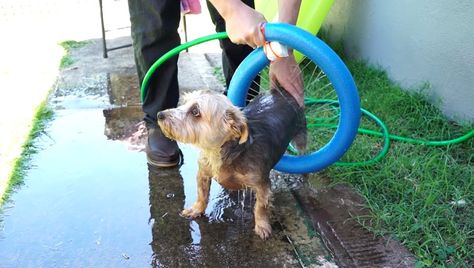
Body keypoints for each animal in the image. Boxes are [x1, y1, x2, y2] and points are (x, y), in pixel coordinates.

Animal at [157, 88, 306, 239]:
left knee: (302, 151)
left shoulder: (262, 184)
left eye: (195, 111)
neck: (217, 152)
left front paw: (262, 225)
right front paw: (196, 209)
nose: (160, 114)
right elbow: (202, 194)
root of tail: (279, 90)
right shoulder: (203, 172)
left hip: (301, 135)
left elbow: (260, 207)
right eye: (184, 102)